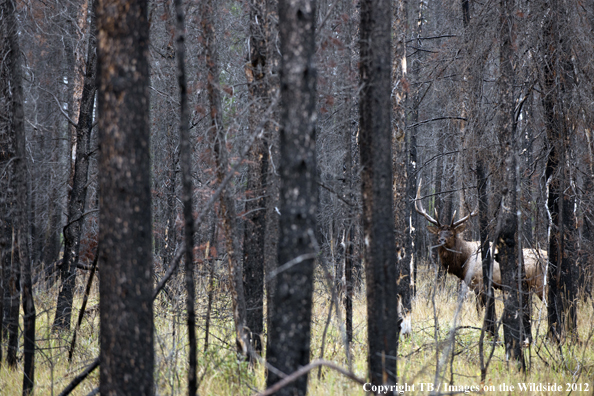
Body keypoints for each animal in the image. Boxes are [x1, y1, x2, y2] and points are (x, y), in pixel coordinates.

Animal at [412, 180, 544, 304]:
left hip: (539, 283)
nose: (441, 240)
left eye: (452, 234)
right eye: (438, 233)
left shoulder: (479, 282)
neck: (463, 264)